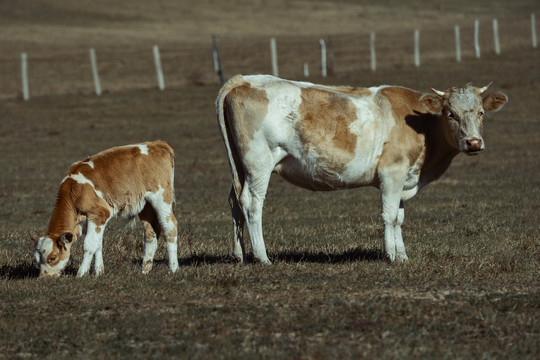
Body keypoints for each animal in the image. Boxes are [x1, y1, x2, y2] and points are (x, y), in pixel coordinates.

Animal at [32, 140, 178, 276]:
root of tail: (156, 144)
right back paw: (145, 270)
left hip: (161, 197)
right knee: (150, 232)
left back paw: (173, 268)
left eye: (52, 257)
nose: (43, 278)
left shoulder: (99, 214)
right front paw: (99, 271)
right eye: (37, 260)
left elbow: (89, 244)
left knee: (170, 227)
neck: (74, 190)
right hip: (146, 204)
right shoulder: (94, 220)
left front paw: (81, 273)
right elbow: (98, 244)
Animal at [214, 74, 506, 262]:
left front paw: (403, 256)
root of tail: (243, 80)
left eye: (481, 113)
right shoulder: (392, 173)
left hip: (239, 166)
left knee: (234, 201)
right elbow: (389, 216)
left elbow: (399, 217)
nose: (474, 142)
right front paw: (391, 256)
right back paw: (262, 257)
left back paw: (239, 255)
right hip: (259, 163)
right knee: (252, 203)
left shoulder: (403, 178)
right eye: (450, 114)